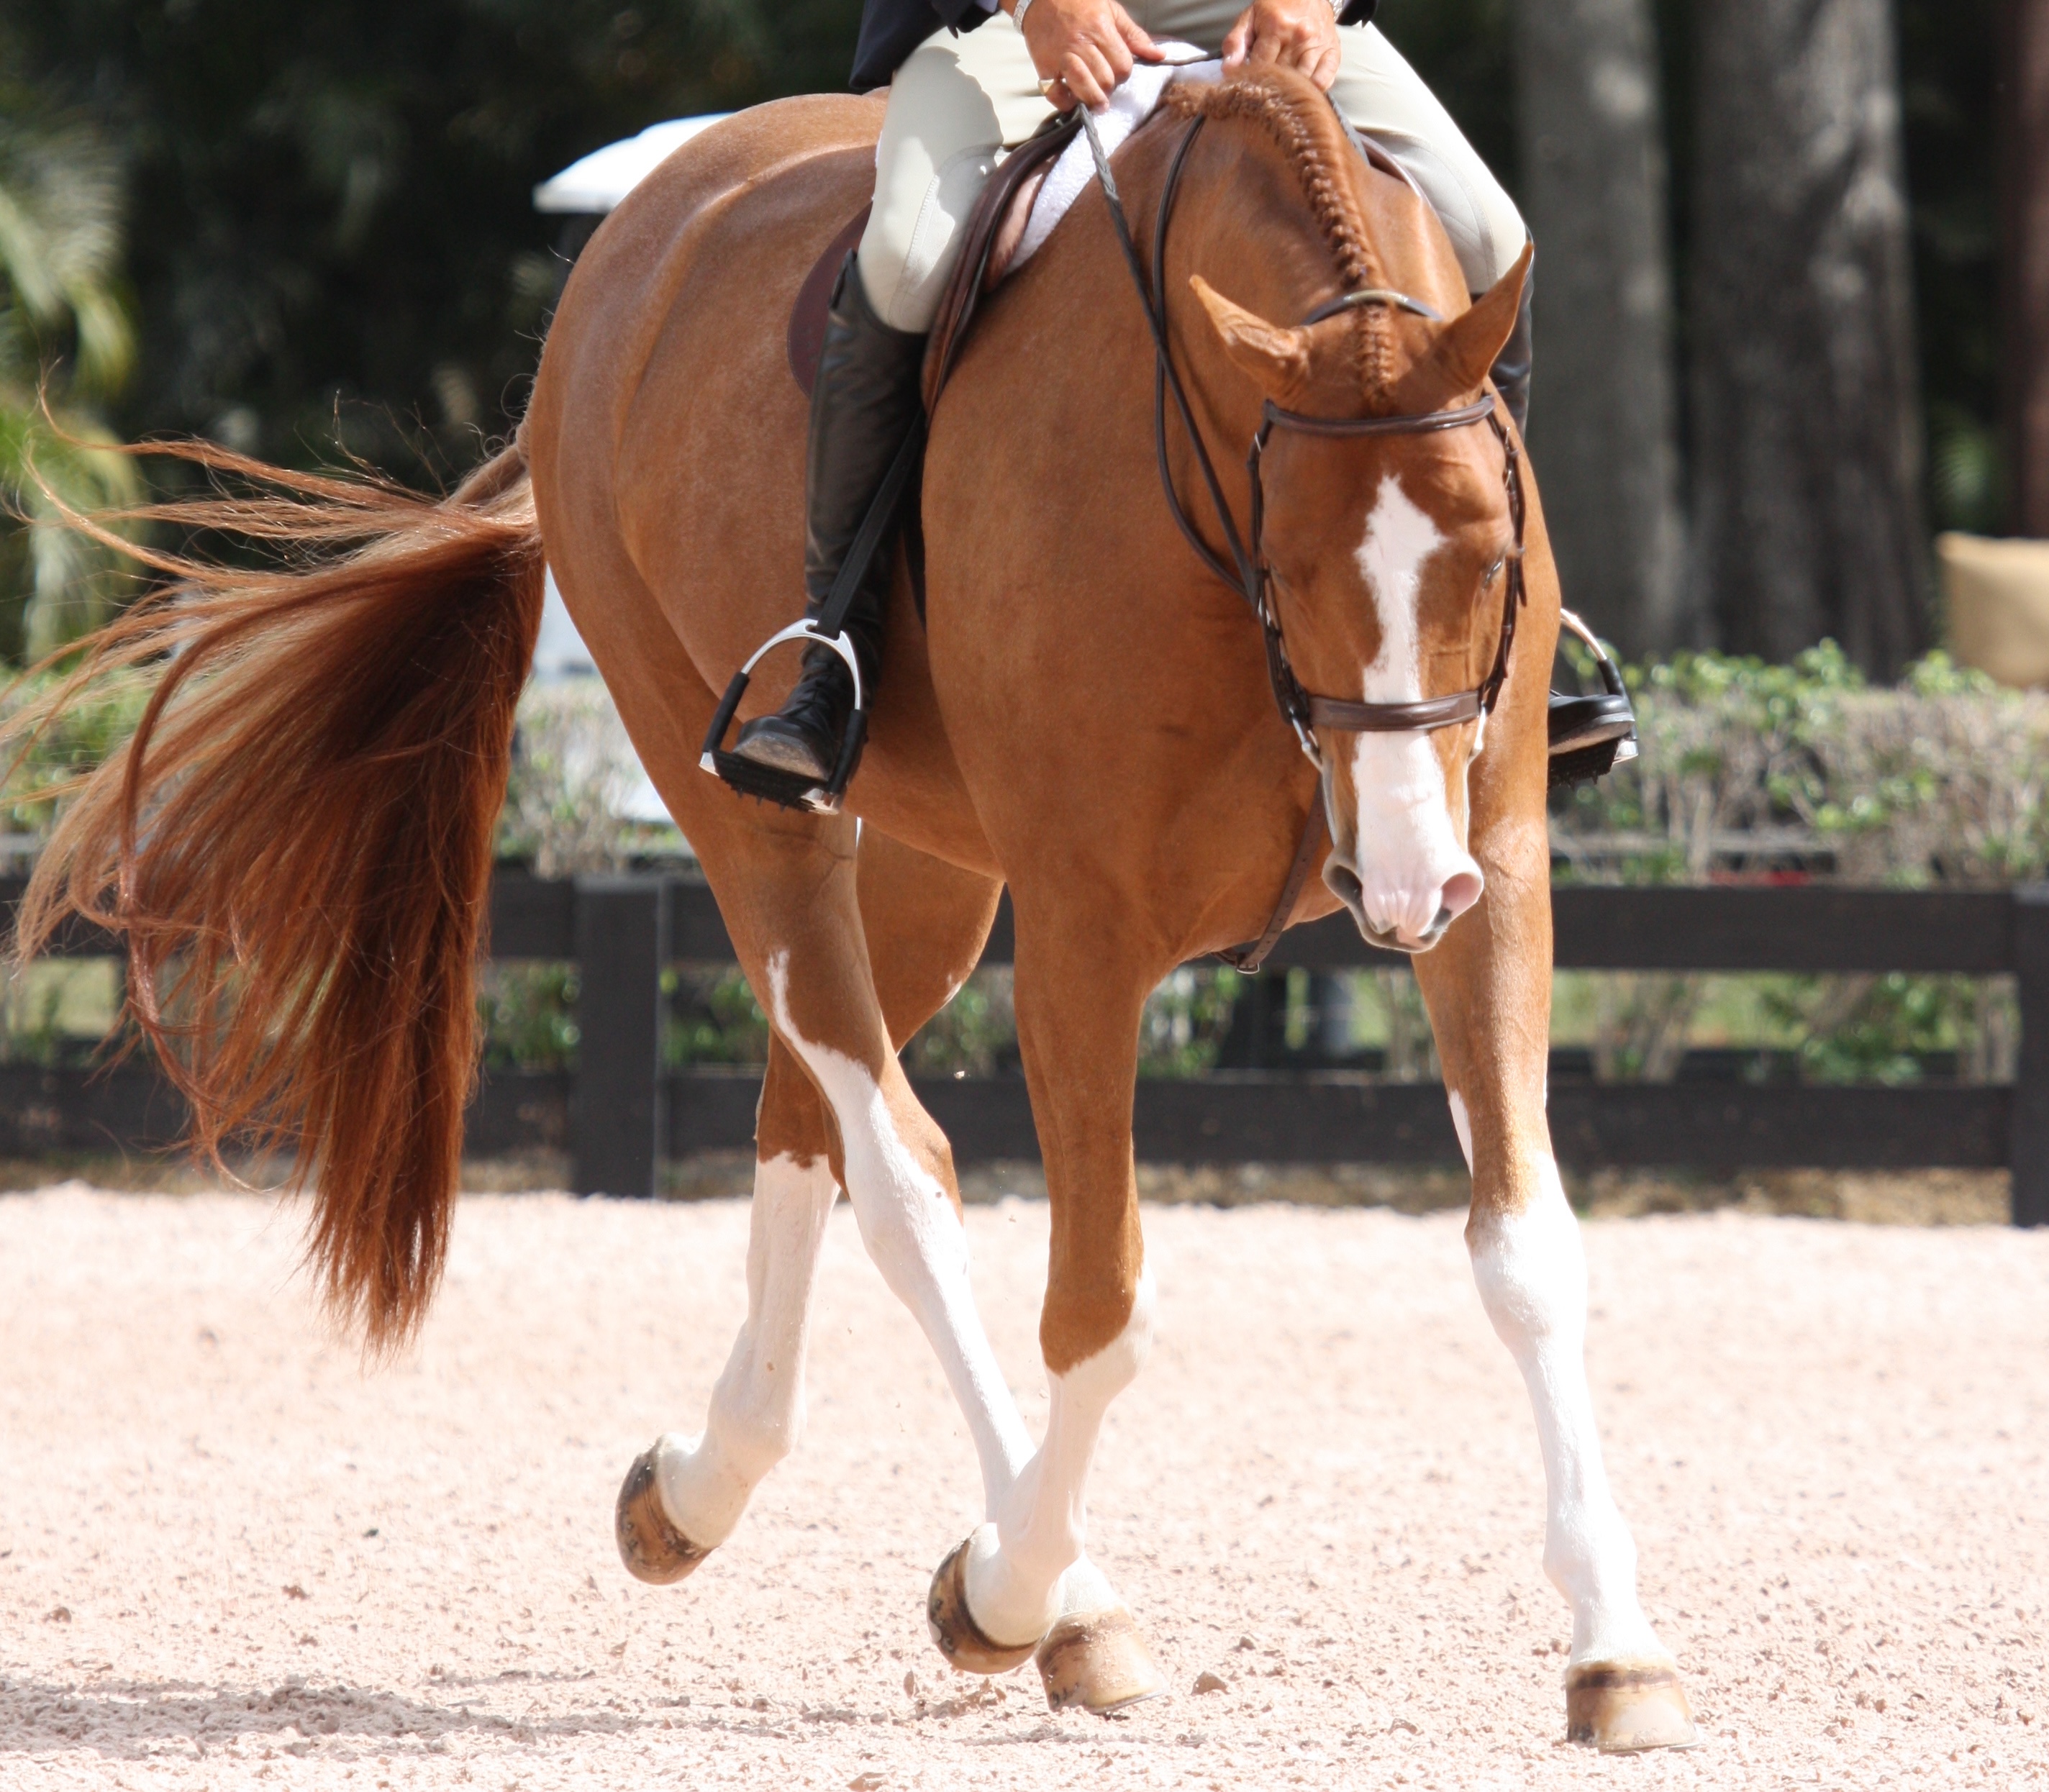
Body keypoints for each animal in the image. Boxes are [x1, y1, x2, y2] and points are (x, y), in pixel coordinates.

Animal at [13, 65, 1695, 1751]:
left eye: (1490, 551)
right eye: (1285, 552)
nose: (1398, 886)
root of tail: (648, 215)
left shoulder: (1495, 879)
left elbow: (1524, 1253)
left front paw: (1615, 1653)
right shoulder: (1084, 935)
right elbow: (1100, 1305)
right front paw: (1016, 1595)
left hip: (937, 879)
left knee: (802, 1111)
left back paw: (698, 1486)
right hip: (750, 814)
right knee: (899, 1169)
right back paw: (1044, 1595)